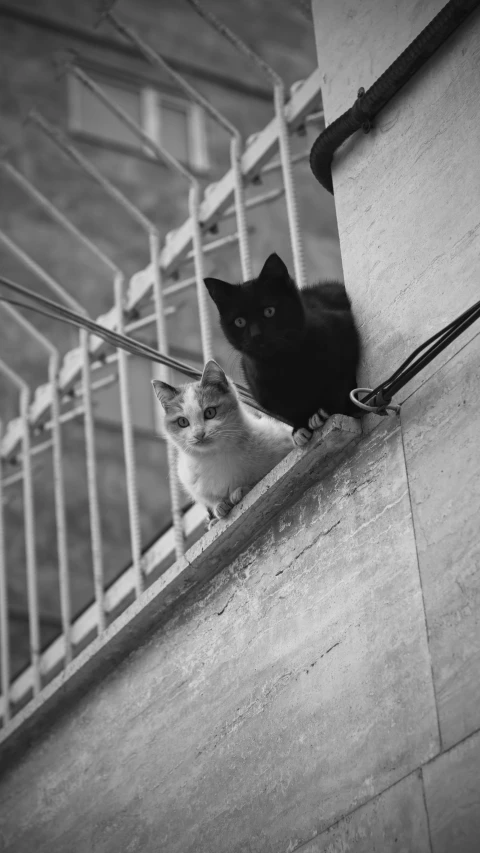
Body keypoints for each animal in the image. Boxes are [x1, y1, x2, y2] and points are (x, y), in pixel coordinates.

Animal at [152, 358, 292, 524]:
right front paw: (219, 506)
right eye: (182, 422)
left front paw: (242, 490)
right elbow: (211, 500)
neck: (214, 456)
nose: (199, 434)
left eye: (210, 412)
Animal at [203, 251, 360, 446]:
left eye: (269, 311)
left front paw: (326, 412)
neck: (283, 364)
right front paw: (300, 428)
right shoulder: (263, 391)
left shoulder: (344, 334)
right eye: (240, 321)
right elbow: (288, 410)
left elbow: (341, 385)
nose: (256, 334)